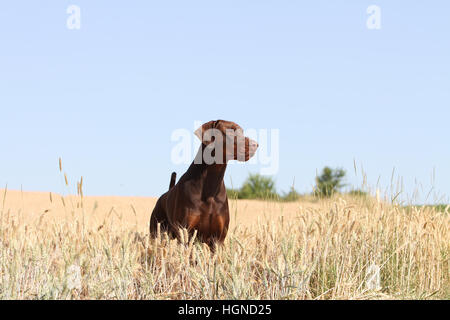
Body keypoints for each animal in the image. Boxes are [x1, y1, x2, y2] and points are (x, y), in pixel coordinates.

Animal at [149, 119, 258, 248]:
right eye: (230, 132)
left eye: (242, 132)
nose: (256, 145)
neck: (211, 184)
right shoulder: (186, 233)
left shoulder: (218, 239)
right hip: (157, 232)